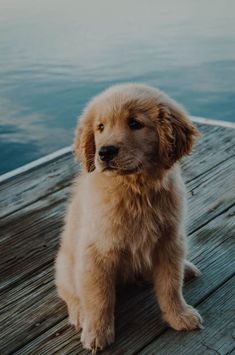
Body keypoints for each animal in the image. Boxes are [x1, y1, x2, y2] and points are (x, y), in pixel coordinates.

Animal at [55, 83, 202, 354]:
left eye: (135, 124)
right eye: (100, 127)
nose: (104, 152)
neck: (135, 190)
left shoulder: (169, 241)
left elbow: (170, 286)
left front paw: (179, 316)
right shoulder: (96, 252)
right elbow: (99, 297)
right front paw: (97, 333)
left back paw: (185, 268)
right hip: (66, 264)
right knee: (70, 291)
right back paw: (80, 314)